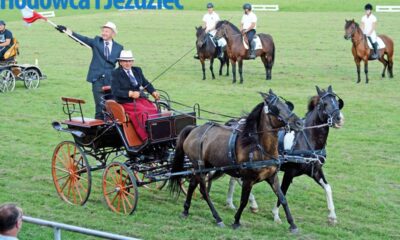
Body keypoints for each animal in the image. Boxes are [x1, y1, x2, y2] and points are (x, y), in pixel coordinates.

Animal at [169, 89, 304, 232]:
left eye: (287, 106)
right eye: (276, 108)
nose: (300, 123)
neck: (259, 147)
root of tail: (193, 130)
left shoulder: (272, 177)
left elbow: (283, 198)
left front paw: (292, 224)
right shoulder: (248, 179)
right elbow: (243, 201)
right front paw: (236, 221)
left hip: (202, 167)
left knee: (192, 185)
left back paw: (185, 210)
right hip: (200, 167)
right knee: (204, 191)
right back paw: (217, 218)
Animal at [274, 86, 346, 225]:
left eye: (337, 102)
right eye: (324, 104)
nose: (339, 119)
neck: (306, 140)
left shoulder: (316, 171)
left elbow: (328, 187)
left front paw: (332, 216)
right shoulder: (289, 172)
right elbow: (282, 192)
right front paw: (275, 215)